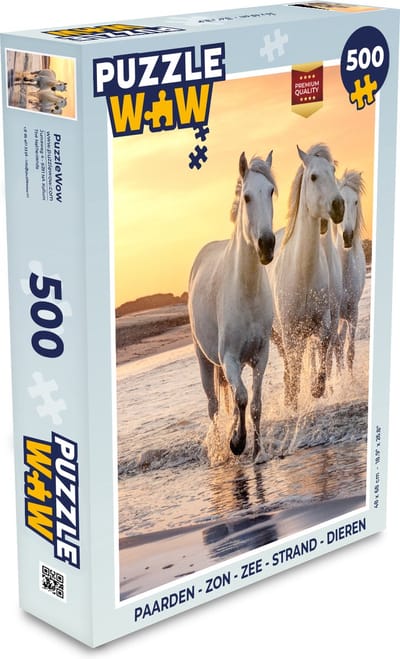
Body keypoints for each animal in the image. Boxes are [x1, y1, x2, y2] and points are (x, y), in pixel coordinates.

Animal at [189, 151, 276, 462]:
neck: (246, 291)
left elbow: (256, 403)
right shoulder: (229, 359)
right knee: (213, 406)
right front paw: (237, 442)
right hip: (204, 359)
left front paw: (258, 452)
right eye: (247, 197)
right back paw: (219, 450)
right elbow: (241, 397)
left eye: (271, 191)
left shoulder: (261, 355)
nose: (267, 244)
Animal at [268, 144, 344, 410]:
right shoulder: (290, 333)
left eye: (333, 170)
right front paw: (292, 399)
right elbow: (295, 365)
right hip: (277, 335)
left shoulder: (322, 323)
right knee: (289, 363)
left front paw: (316, 389)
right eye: (313, 177)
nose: (338, 206)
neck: (302, 275)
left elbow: (322, 354)